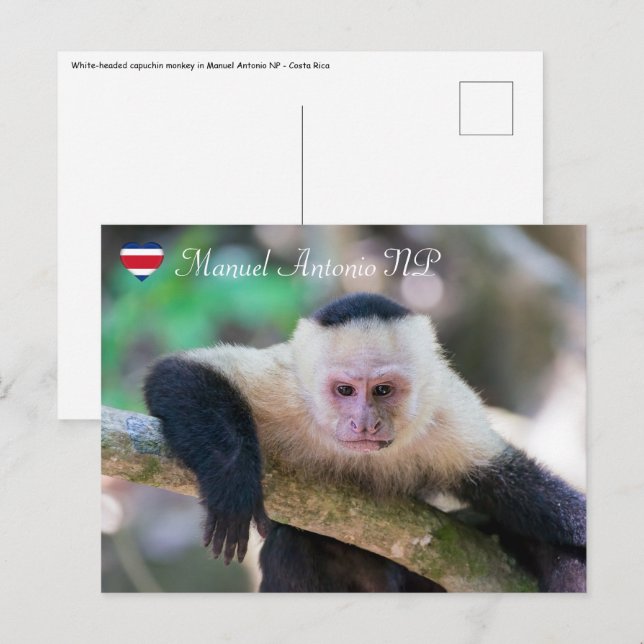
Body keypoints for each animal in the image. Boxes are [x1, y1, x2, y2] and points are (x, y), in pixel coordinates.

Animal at [143, 292, 586, 592]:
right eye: (345, 390)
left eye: (383, 390)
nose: (365, 424)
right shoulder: (289, 387)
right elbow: (178, 373)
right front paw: (232, 482)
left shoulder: (444, 411)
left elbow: (507, 483)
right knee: (292, 546)